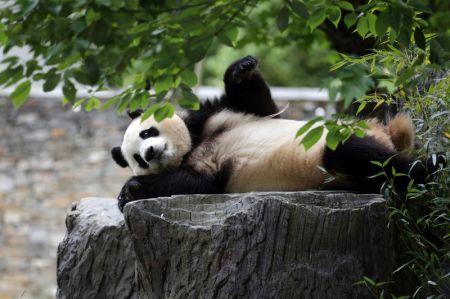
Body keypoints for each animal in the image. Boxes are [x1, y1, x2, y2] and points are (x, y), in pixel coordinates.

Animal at [111, 56, 440, 211]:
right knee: (363, 159)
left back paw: (431, 165)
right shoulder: (206, 170)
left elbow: (259, 104)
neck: (194, 145)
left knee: (364, 154)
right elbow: (193, 183)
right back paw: (429, 167)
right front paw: (131, 191)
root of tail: (388, 136)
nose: (150, 152)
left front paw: (242, 68)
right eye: (138, 159)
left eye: (147, 132)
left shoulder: (217, 114)